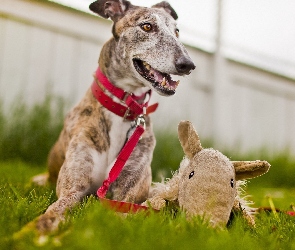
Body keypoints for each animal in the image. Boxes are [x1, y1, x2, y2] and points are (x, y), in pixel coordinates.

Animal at [31, 0, 195, 233]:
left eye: (177, 31)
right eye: (147, 26)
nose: (188, 65)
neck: (123, 108)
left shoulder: (126, 196)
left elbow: (119, 218)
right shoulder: (73, 190)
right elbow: (53, 212)